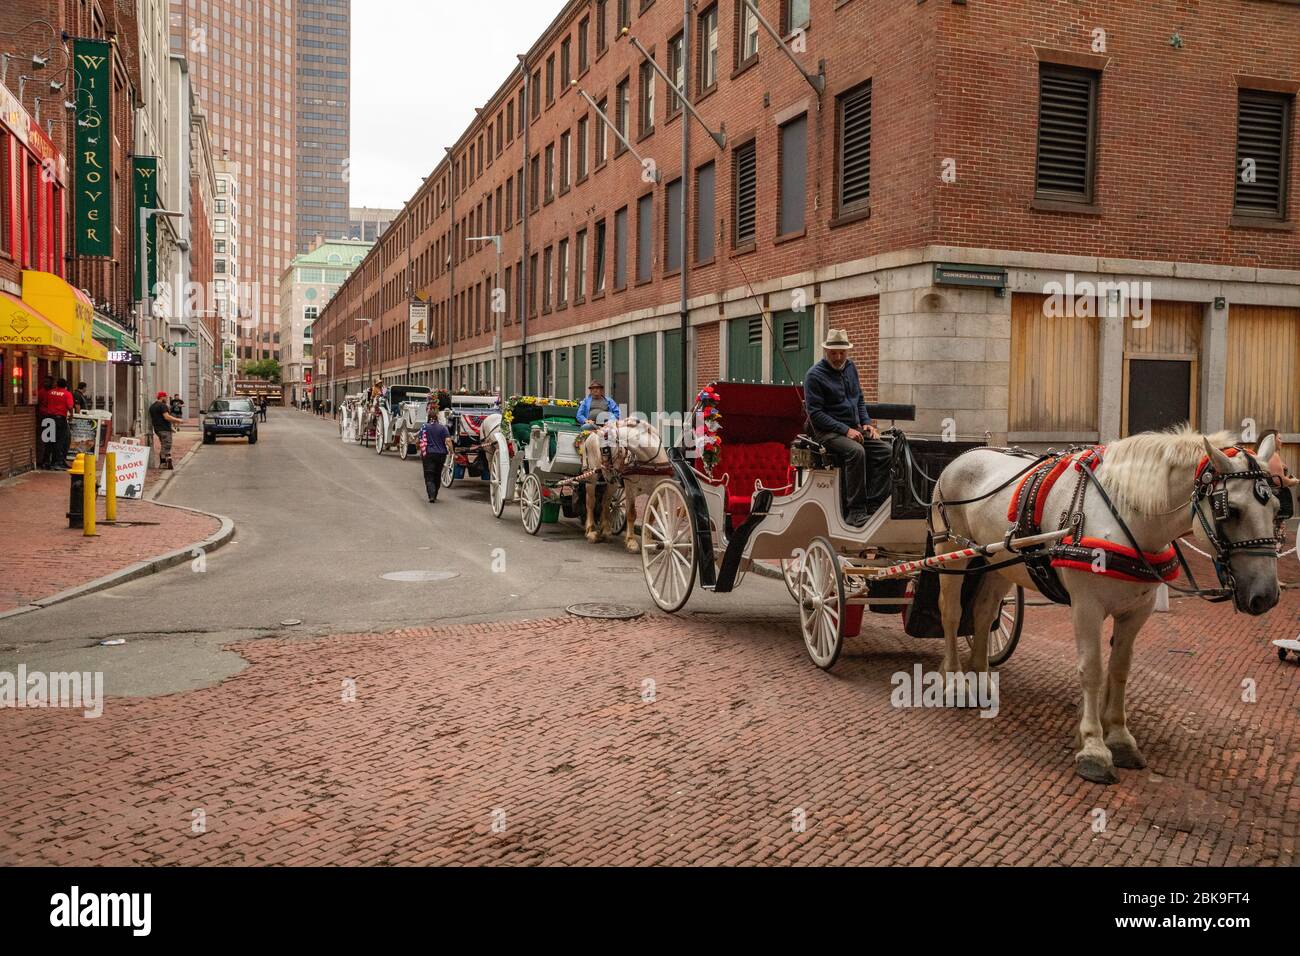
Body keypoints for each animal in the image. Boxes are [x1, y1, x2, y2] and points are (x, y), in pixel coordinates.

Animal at [935, 429, 1279, 785]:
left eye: (1277, 509)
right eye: (1232, 510)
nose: (1266, 595)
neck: (1127, 517)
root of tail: (966, 455)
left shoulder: (1136, 611)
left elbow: (1119, 668)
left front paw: (1119, 736)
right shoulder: (1086, 606)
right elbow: (1092, 670)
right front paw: (1093, 747)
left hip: (1001, 563)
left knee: (984, 611)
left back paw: (979, 680)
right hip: (949, 552)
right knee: (952, 613)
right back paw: (955, 682)